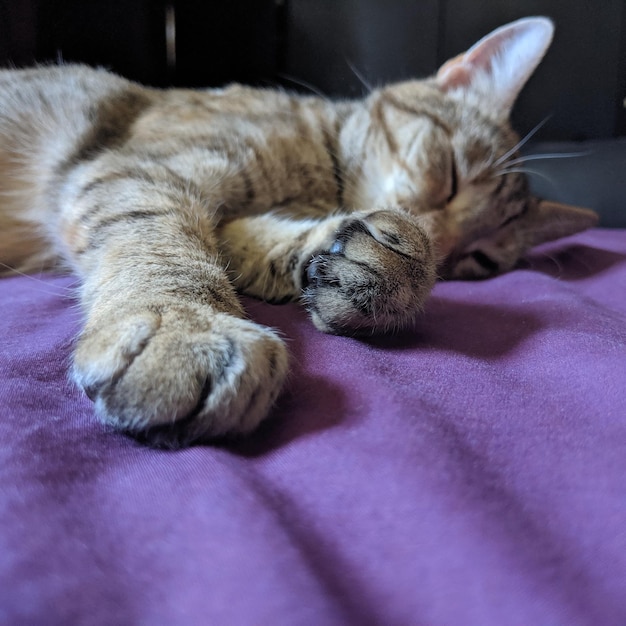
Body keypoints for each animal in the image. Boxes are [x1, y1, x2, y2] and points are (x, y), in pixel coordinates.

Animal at [0, 14, 596, 444]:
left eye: (480, 260)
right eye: (450, 174)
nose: (443, 246)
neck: (317, 168)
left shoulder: (222, 216)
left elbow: (251, 246)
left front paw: (369, 263)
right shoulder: (140, 170)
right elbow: (163, 244)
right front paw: (186, 327)